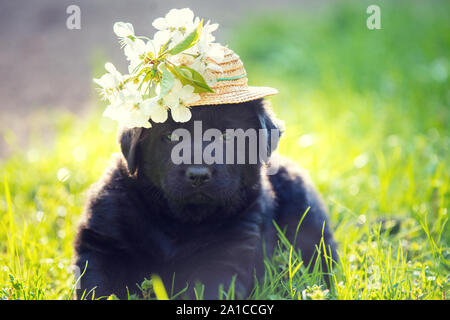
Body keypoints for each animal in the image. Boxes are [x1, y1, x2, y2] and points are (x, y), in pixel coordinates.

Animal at [73, 99, 334, 298]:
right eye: (171, 136)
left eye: (228, 136)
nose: (198, 175)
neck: (177, 221)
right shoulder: (102, 244)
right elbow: (98, 287)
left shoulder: (227, 256)